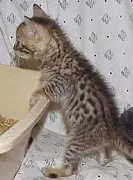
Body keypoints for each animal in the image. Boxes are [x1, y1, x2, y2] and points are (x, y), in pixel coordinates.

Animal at [13, 4, 133, 179]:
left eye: (18, 40)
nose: (14, 48)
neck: (57, 51)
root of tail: (114, 129)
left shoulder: (60, 84)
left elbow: (45, 89)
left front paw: (34, 96)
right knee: (105, 155)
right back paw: (103, 159)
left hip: (76, 139)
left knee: (72, 170)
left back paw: (53, 171)